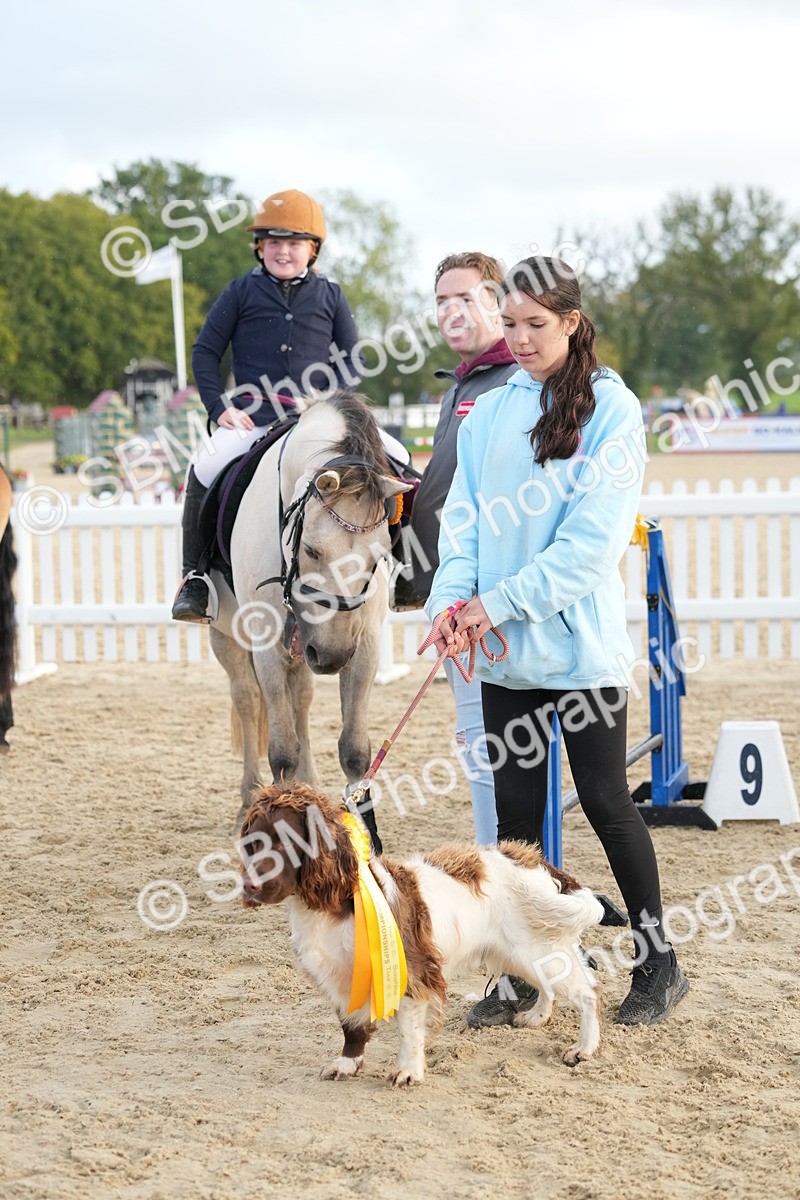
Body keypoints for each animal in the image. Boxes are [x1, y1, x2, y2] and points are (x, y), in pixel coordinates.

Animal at [207, 392, 411, 848]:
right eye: (314, 550)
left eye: (380, 554)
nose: (331, 657)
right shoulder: (267, 643)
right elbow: (282, 749)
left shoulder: (363, 643)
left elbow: (354, 748)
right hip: (229, 637)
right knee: (246, 699)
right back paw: (248, 798)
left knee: (300, 699)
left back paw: (309, 788)